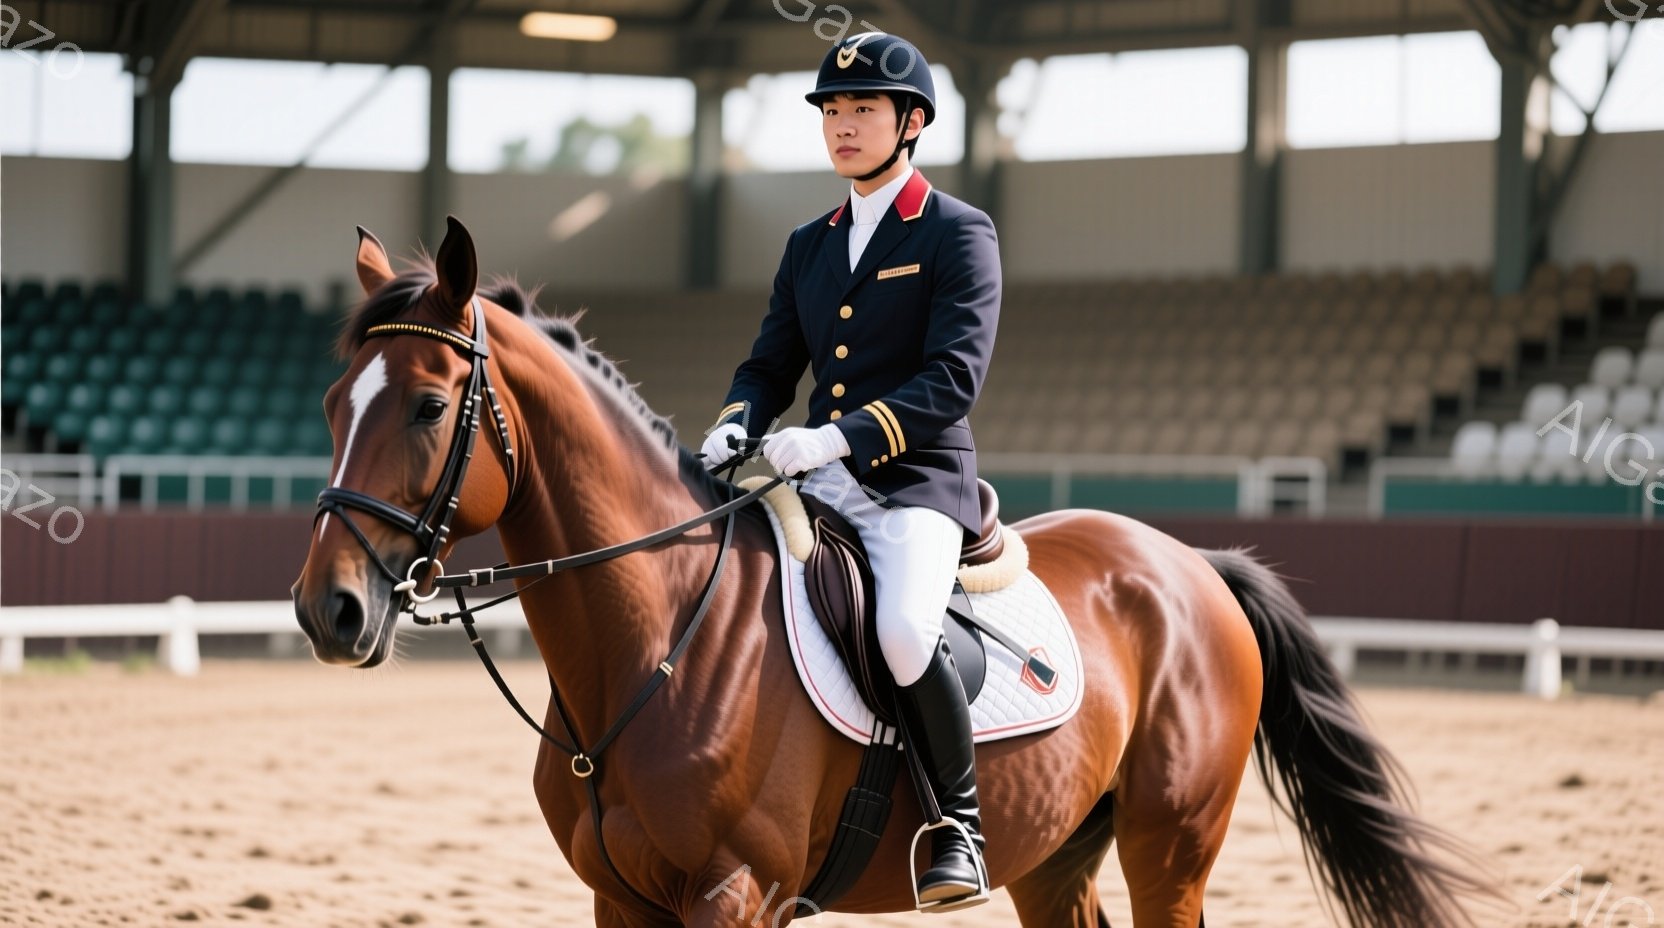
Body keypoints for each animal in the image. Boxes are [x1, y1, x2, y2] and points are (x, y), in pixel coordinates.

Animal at [292, 217, 1493, 927]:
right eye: (331, 402)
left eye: (428, 406)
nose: (327, 610)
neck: (659, 644)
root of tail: (1188, 563)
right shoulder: (618, 899)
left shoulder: (735, 896)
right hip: (1056, 853)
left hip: (1173, 845)